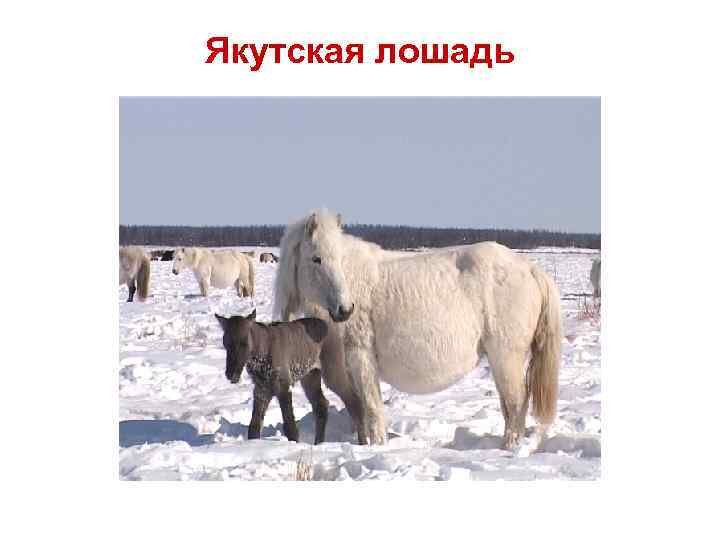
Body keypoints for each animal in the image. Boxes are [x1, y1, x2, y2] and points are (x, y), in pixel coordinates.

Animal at [215, 309, 331, 444]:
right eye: (226, 343)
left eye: (244, 343)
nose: (231, 374)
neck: (261, 356)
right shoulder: (261, 390)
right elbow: (254, 426)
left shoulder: (283, 386)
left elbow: (290, 426)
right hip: (310, 375)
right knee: (321, 404)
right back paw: (319, 442)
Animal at [274, 209, 563, 450]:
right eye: (317, 259)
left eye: (339, 259)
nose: (345, 309)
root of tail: (531, 269)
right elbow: (359, 412)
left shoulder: (361, 358)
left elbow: (372, 410)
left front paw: (377, 446)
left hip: (506, 357)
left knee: (516, 405)